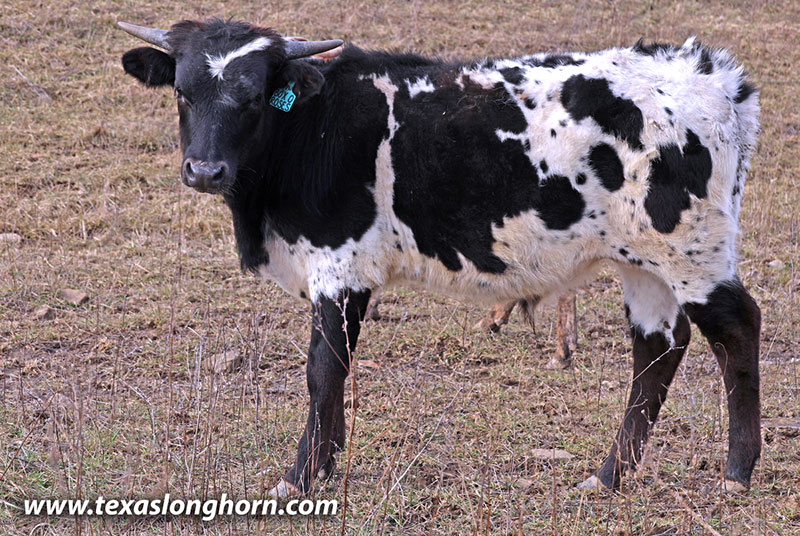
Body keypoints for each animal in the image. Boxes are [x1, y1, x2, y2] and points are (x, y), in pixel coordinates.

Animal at [118, 19, 761, 498]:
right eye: (182, 93)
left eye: (253, 97)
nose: (205, 170)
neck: (311, 127)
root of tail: (710, 75)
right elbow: (336, 373)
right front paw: (325, 465)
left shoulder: (340, 267)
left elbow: (323, 370)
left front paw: (300, 477)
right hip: (642, 261)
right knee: (658, 348)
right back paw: (608, 476)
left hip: (692, 253)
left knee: (736, 328)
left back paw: (736, 470)